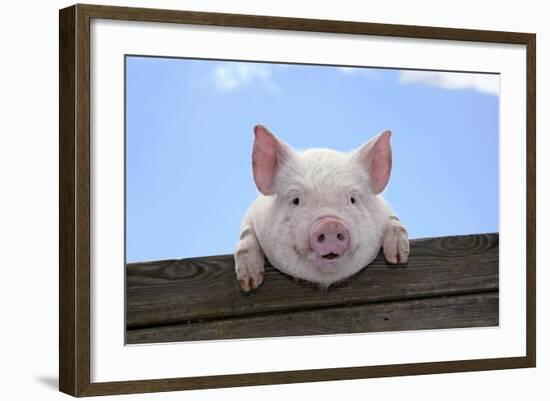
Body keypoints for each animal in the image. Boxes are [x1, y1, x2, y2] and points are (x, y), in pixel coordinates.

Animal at [233, 125, 410, 290]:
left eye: (353, 199)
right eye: (295, 200)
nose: (331, 224)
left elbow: (394, 220)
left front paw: (398, 258)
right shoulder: (251, 214)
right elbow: (246, 234)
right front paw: (250, 283)